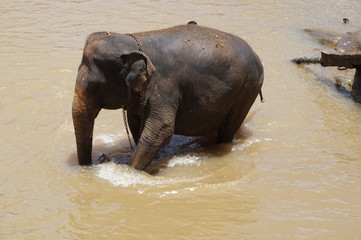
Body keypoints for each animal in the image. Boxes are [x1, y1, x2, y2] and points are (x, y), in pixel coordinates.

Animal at [71, 23, 262, 171]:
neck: (132, 41)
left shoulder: (164, 85)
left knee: (228, 129)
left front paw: (129, 170)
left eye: (95, 86)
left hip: (248, 89)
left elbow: (160, 128)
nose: (101, 157)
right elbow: (136, 124)